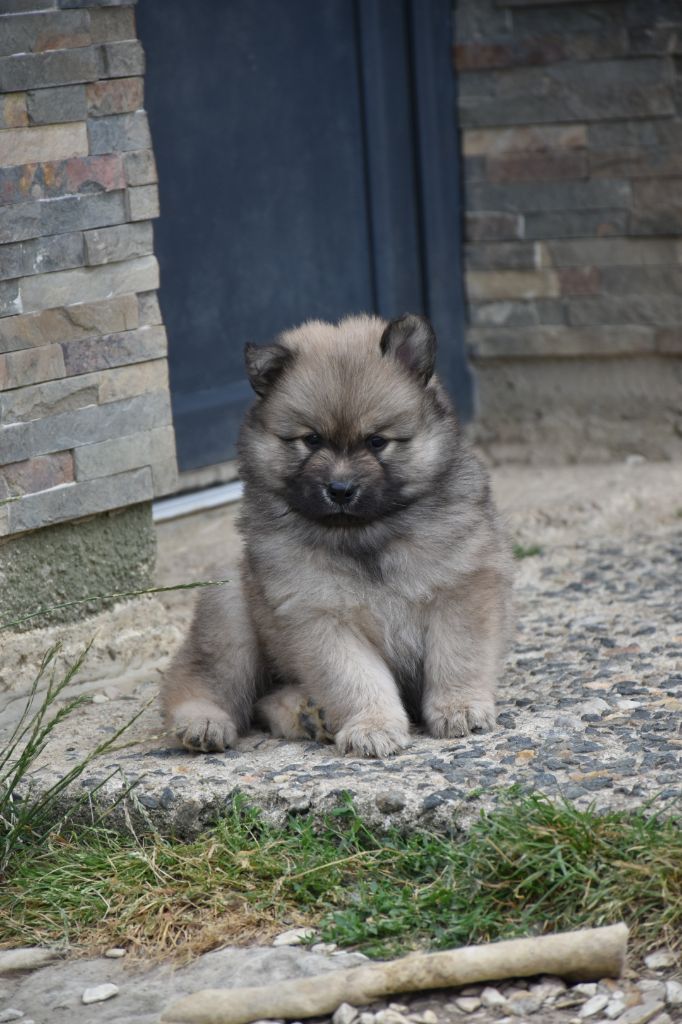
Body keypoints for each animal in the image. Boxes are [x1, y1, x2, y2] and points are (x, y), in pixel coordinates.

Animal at [161, 313, 513, 757]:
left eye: (377, 441)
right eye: (311, 440)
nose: (341, 489)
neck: (364, 535)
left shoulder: (460, 590)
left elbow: (457, 657)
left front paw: (460, 707)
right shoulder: (320, 616)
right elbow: (356, 679)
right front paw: (373, 726)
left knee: (263, 699)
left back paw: (307, 714)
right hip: (230, 614)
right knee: (199, 680)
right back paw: (205, 722)